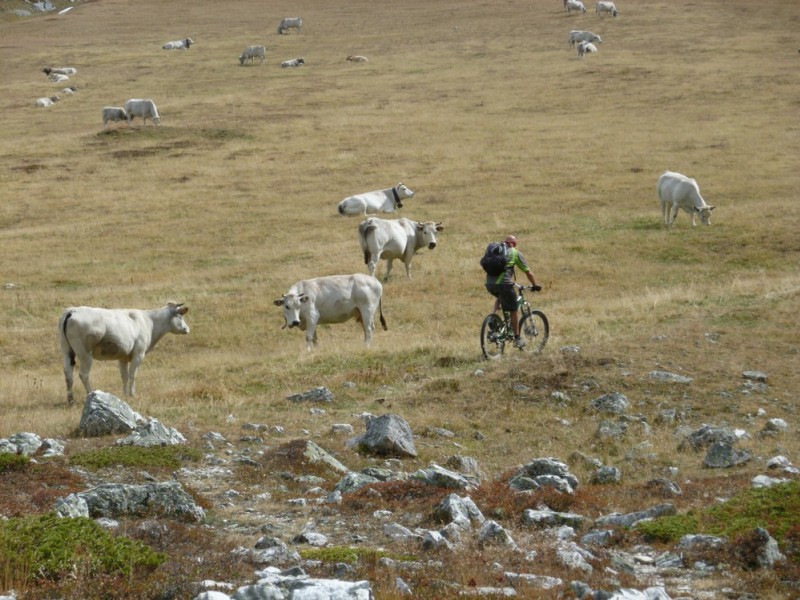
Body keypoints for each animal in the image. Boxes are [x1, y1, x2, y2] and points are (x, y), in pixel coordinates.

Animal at [58, 302, 190, 406]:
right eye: (179, 316)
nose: (187, 329)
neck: (149, 321)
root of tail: (73, 310)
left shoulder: (123, 357)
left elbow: (124, 376)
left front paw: (125, 394)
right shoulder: (138, 354)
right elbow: (132, 375)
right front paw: (132, 394)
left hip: (66, 351)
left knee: (68, 373)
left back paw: (71, 400)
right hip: (85, 354)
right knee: (83, 374)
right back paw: (91, 393)